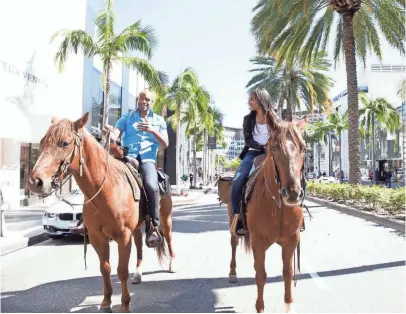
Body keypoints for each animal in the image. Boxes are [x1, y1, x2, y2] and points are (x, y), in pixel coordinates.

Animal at [26, 113, 176, 312]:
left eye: (65, 143)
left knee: (168, 237)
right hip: (137, 227)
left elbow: (121, 270)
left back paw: (172, 264)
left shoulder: (123, 237)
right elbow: (105, 268)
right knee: (139, 246)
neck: (106, 189)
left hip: (165, 218)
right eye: (42, 141)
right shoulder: (97, 237)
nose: (35, 182)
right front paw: (106, 302)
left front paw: (125, 305)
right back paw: (138, 273)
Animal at [219, 110, 304, 312]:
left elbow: (287, 273)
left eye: (304, 148)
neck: (278, 206)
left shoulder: (291, 240)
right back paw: (232, 272)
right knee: (233, 242)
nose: (292, 193)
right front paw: (260, 307)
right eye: (274, 148)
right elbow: (260, 275)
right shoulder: (258, 242)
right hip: (232, 220)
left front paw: (288, 305)